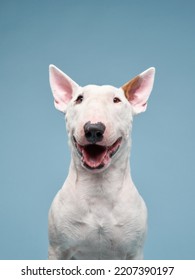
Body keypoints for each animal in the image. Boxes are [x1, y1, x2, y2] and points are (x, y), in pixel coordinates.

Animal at [48, 64, 155, 260]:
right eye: (79, 99)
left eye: (116, 100)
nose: (93, 129)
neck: (99, 190)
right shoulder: (57, 251)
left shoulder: (134, 253)